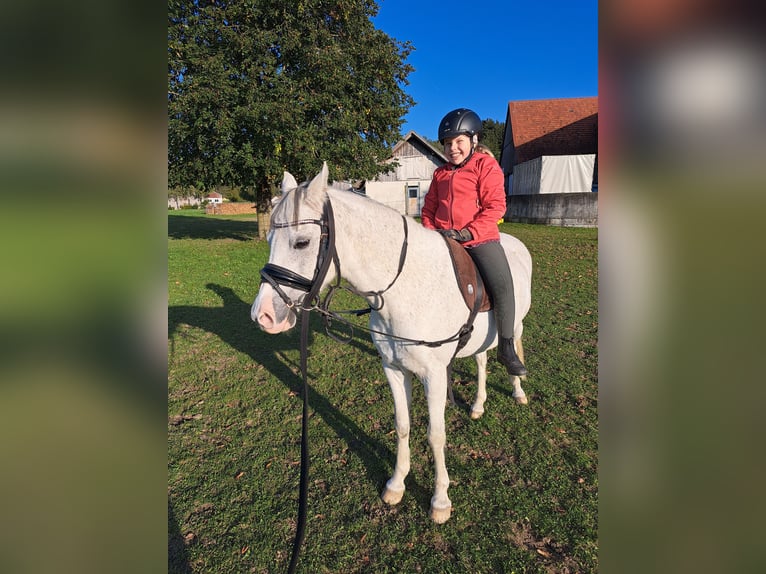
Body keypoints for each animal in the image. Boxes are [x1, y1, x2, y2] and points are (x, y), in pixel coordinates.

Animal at [252, 162, 532, 523]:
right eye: (270, 239)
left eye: (302, 242)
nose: (263, 315)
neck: (406, 287)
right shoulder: (394, 369)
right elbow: (402, 426)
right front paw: (397, 484)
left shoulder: (433, 376)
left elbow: (435, 434)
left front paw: (440, 500)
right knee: (482, 360)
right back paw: (478, 405)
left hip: (516, 323)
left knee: (512, 348)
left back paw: (518, 390)